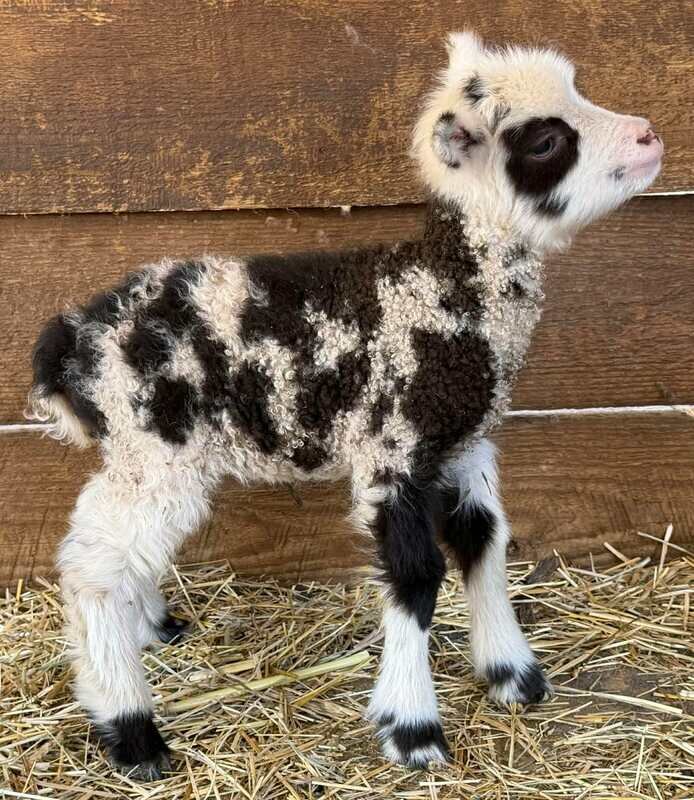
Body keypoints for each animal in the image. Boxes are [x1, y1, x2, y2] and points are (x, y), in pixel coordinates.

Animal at [27, 31, 663, 779]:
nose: (650, 136)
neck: (443, 290)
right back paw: (131, 730)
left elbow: (484, 541)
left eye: (579, 91)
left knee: (115, 547)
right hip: (158, 447)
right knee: (92, 565)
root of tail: (74, 341)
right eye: (544, 141)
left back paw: (152, 627)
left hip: (145, 455)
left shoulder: (460, 442)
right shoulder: (392, 449)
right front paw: (413, 728)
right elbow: (416, 576)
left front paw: (512, 675)